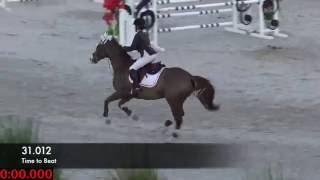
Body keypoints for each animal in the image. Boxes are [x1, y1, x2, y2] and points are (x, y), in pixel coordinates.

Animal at [90, 35, 220, 136]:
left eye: (98, 47)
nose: (92, 58)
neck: (123, 67)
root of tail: (189, 76)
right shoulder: (129, 95)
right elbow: (120, 104)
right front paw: (131, 114)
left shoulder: (122, 92)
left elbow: (107, 100)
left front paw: (106, 115)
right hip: (176, 100)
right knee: (179, 115)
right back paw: (168, 125)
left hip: (173, 99)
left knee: (178, 116)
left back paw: (173, 132)